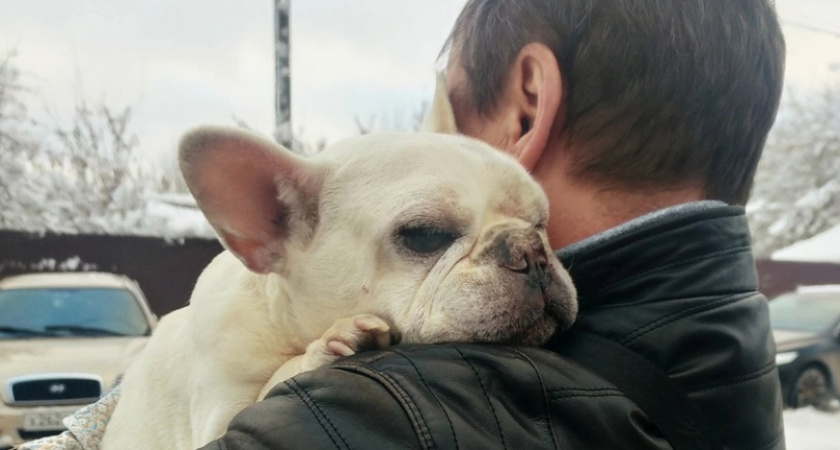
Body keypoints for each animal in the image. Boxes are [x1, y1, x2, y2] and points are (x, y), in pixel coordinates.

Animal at [98, 82, 576, 448]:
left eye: (541, 223)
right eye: (425, 234)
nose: (530, 248)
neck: (282, 326)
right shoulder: (215, 414)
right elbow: (269, 384)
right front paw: (332, 344)